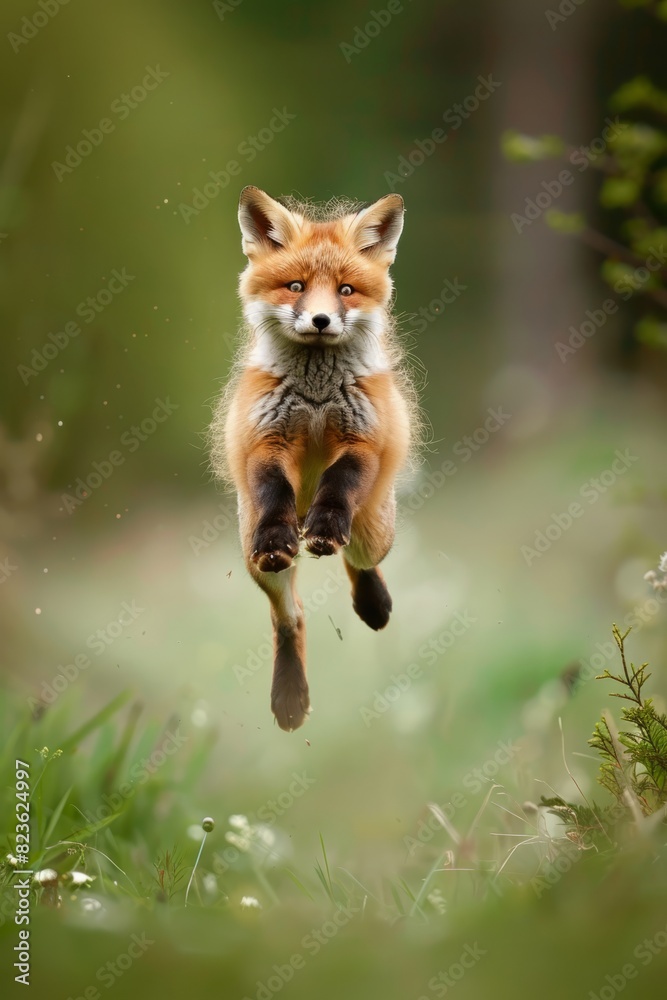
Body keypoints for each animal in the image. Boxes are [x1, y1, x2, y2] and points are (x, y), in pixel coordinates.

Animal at [210, 185, 419, 732]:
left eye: (346, 290)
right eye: (296, 286)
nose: (321, 320)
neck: (317, 397)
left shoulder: (361, 443)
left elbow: (339, 483)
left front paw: (327, 523)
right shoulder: (267, 442)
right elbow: (272, 490)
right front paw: (278, 531)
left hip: (375, 530)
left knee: (358, 561)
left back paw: (371, 602)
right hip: (256, 563)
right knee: (290, 617)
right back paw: (290, 698)